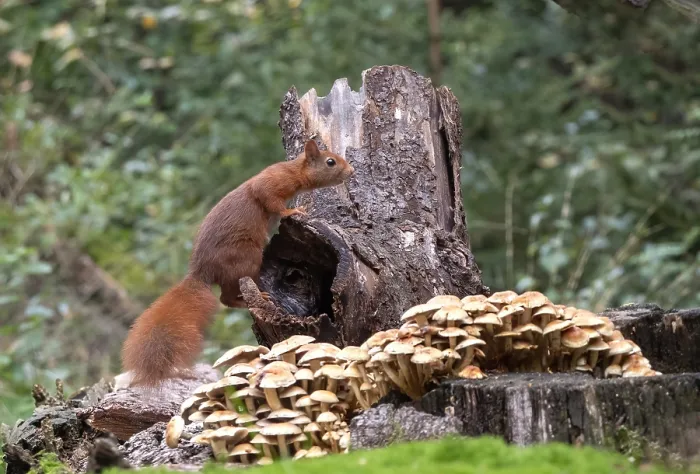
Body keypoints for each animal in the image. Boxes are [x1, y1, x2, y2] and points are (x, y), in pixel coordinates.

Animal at [120, 139, 354, 388]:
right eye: (330, 162)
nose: (351, 171)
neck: (294, 170)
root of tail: (201, 272)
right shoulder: (271, 184)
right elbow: (272, 201)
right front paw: (294, 210)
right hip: (246, 259)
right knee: (226, 298)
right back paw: (256, 297)